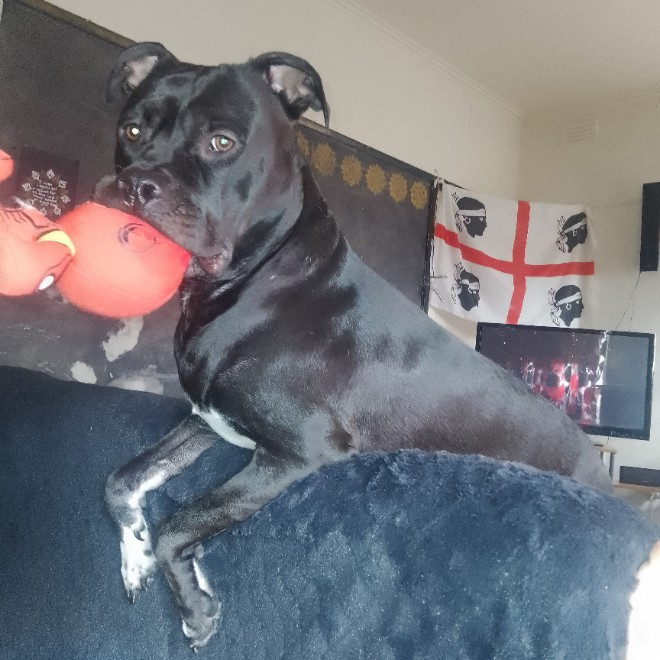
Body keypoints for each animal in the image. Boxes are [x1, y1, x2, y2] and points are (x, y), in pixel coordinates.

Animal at [96, 43, 612, 649]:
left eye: (221, 142)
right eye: (131, 129)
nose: (134, 186)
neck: (253, 282)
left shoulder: (300, 448)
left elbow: (183, 522)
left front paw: (195, 608)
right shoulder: (207, 418)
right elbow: (121, 481)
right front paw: (136, 557)